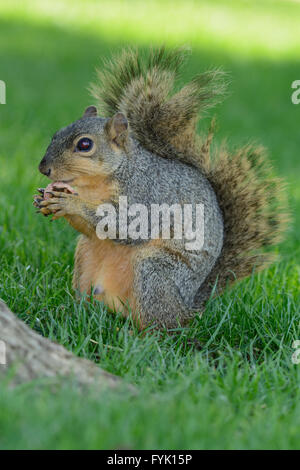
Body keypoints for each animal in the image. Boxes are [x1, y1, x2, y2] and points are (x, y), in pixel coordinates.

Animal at [34, 46, 290, 326]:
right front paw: (45, 199)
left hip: (154, 271)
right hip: (85, 257)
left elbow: (128, 226)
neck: (97, 183)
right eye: (56, 134)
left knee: (163, 323)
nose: (43, 168)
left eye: (84, 145)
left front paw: (69, 202)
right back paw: (74, 311)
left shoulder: (146, 193)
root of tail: (188, 306)